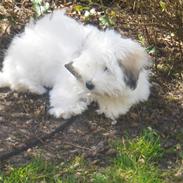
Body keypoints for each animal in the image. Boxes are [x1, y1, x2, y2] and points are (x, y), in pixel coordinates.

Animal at [0, 10, 150, 121]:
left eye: (106, 68)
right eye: (89, 65)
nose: (89, 84)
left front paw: (112, 106)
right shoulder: (70, 75)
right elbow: (66, 92)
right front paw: (67, 109)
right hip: (28, 63)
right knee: (18, 81)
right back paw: (34, 88)